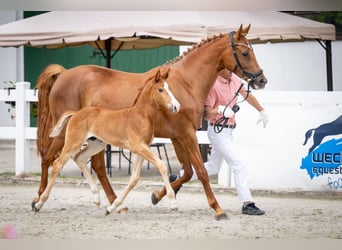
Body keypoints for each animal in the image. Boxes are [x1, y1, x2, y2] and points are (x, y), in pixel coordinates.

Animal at [33, 69, 180, 215]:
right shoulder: (138, 146)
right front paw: (173, 203)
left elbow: (134, 178)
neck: (140, 115)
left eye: (169, 88)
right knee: (58, 164)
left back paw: (96, 198)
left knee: (79, 158)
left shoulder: (142, 149)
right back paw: (39, 203)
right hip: (73, 142)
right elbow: (162, 165)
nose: (176, 106)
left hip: (96, 144)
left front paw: (112, 207)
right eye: (160, 89)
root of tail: (75, 114)